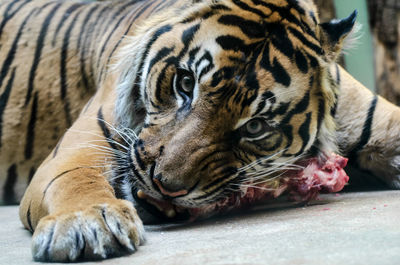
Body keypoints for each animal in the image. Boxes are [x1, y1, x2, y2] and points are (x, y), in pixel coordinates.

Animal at [0, 0, 398, 260]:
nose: (163, 184)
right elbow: (75, 180)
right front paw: (87, 224)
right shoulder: (76, 149)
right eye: (185, 83)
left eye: (255, 126)